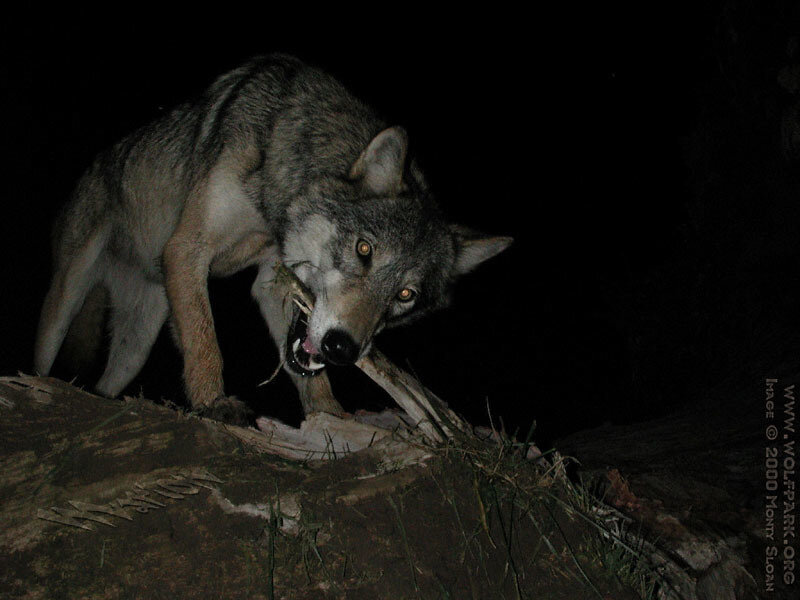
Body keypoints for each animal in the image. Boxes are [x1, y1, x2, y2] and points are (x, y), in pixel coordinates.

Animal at [35, 54, 512, 424]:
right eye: (364, 250)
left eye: (406, 295)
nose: (343, 347)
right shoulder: (188, 250)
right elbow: (207, 342)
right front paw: (213, 403)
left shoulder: (274, 280)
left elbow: (307, 372)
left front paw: (331, 421)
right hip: (66, 298)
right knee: (43, 357)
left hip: (138, 341)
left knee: (107, 382)